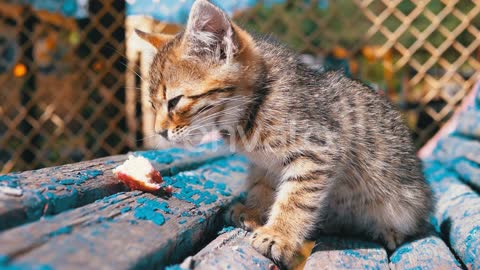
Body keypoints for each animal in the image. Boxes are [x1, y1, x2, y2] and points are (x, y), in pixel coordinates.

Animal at [137, 0, 434, 266]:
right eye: (152, 105)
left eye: (174, 101)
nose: (160, 132)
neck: (252, 110)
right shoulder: (263, 163)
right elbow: (262, 184)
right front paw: (254, 209)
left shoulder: (318, 150)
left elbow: (296, 198)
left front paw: (279, 234)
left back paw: (389, 231)